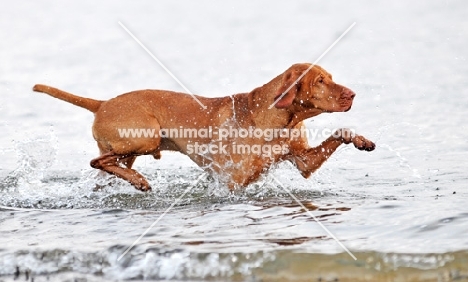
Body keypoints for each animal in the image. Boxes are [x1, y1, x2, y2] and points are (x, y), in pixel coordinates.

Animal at [33, 63, 374, 191]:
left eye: (331, 78)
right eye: (320, 81)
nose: (353, 94)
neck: (280, 120)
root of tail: (102, 103)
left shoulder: (303, 161)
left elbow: (340, 133)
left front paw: (361, 140)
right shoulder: (234, 180)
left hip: (129, 151)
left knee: (104, 167)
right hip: (146, 138)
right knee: (97, 160)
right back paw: (140, 181)